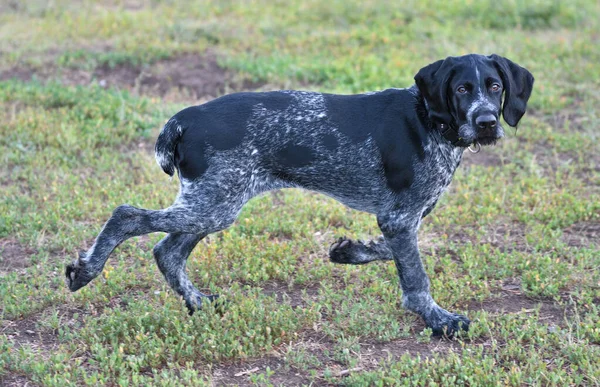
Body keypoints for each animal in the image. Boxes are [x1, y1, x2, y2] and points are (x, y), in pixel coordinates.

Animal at [65, 53, 536, 336]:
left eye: (495, 86)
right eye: (462, 89)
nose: (487, 122)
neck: (430, 120)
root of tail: (184, 118)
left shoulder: (401, 217)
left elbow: (388, 250)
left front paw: (349, 251)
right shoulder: (401, 217)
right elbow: (416, 279)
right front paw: (438, 319)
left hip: (212, 203)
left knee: (167, 251)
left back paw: (197, 302)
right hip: (214, 203)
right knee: (127, 215)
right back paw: (86, 270)